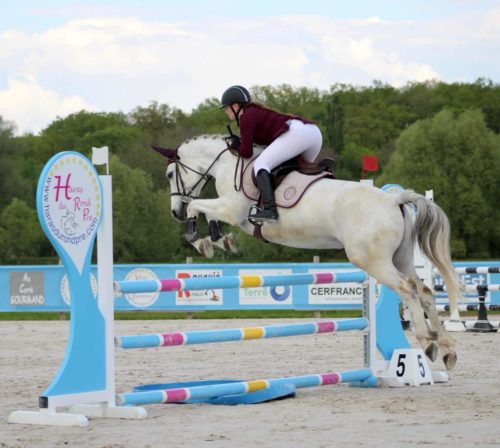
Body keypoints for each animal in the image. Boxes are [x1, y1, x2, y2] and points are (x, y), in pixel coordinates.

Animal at [155, 134, 460, 372]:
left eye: (170, 175)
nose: (174, 213)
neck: (229, 163)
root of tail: (394, 199)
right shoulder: (229, 211)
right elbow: (208, 215)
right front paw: (220, 241)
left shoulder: (232, 210)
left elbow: (199, 207)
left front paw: (201, 241)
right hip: (401, 257)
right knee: (424, 291)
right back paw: (446, 349)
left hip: (372, 261)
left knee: (407, 290)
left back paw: (427, 342)